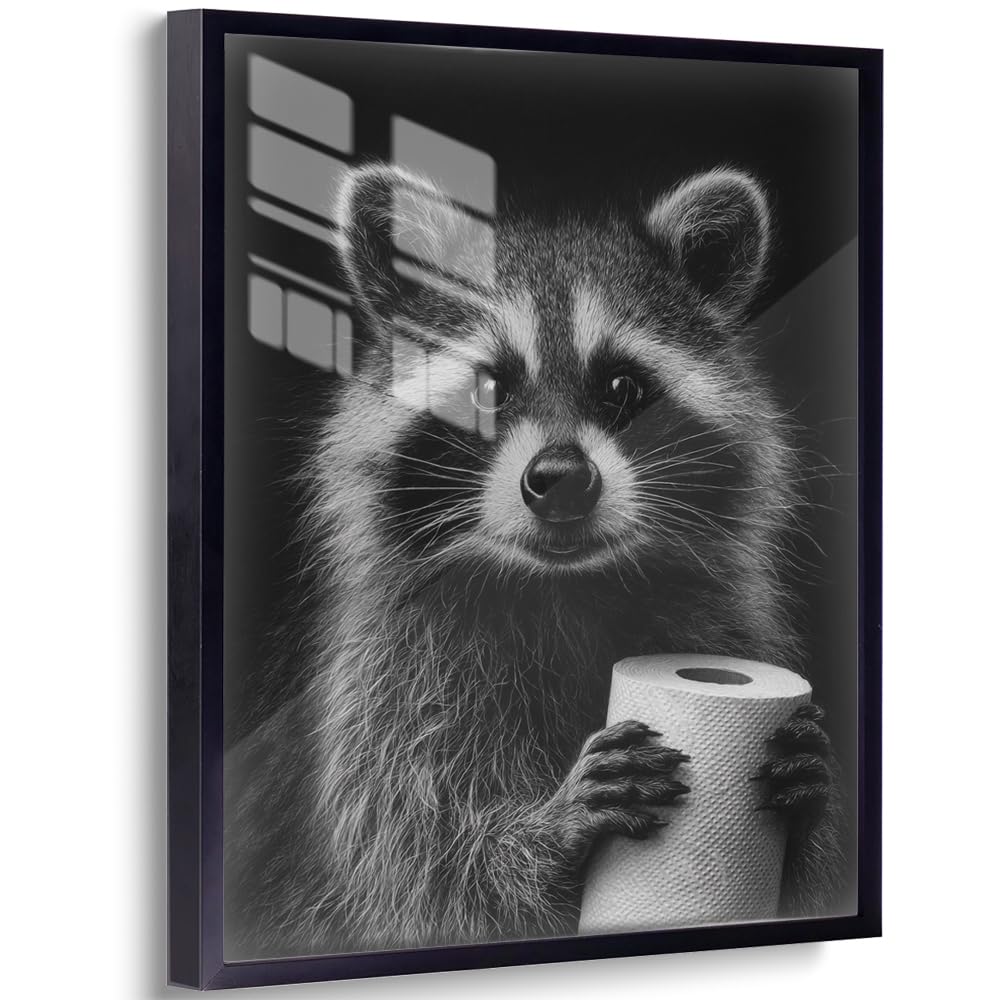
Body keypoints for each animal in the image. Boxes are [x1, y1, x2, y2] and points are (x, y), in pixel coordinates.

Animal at [224, 163, 843, 959]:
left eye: (622, 388)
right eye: (489, 388)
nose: (562, 479)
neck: (566, 587)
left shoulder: (721, 624)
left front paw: (809, 812)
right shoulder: (391, 680)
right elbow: (428, 876)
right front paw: (545, 836)